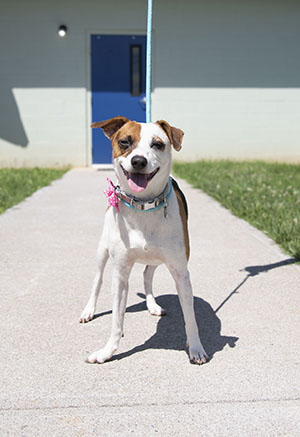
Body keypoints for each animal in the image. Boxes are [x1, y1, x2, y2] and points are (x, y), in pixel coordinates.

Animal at [79, 116, 209, 364]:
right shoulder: (120, 274)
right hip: (102, 250)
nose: (138, 161)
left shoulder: (181, 272)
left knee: (147, 276)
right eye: (124, 142)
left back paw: (152, 304)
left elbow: (191, 318)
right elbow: (116, 319)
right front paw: (108, 351)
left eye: (157, 144)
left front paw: (196, 347)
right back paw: (88, 310)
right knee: (97, 280)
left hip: (157, 260)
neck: (144, 206)